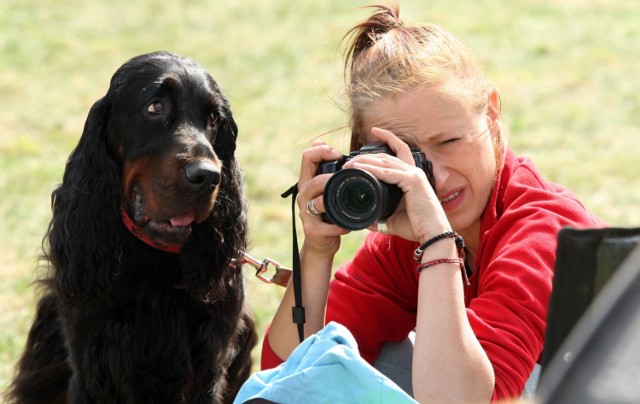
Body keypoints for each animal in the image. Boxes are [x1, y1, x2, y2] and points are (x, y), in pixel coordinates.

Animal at [7, 52, 258, 402]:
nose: (207, 176)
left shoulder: (209, 365)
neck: (155, 258)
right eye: (155, 107)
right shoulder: (90, 364)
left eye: (213, 119)